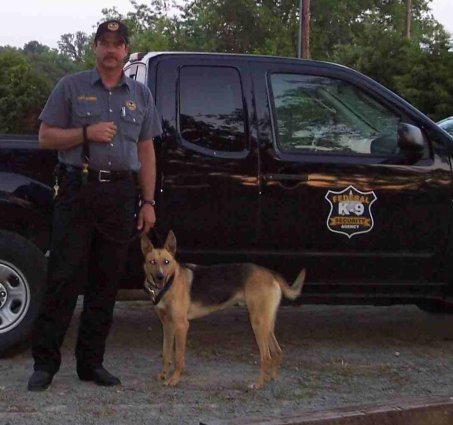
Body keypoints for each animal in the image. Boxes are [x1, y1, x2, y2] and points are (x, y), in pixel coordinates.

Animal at [139, 230, 306, 390]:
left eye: (166, 262)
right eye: (152, 262)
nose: (159, 277)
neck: (170, 282)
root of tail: (270, 273)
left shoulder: (181, 326)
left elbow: (178, 357)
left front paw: (174, 380)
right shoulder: (167, 325)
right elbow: (166, 354)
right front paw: (163, 375)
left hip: (258, 323)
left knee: (266, 356)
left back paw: (258, 384)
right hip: (266, 323)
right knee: (277, 351)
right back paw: (270, 378)